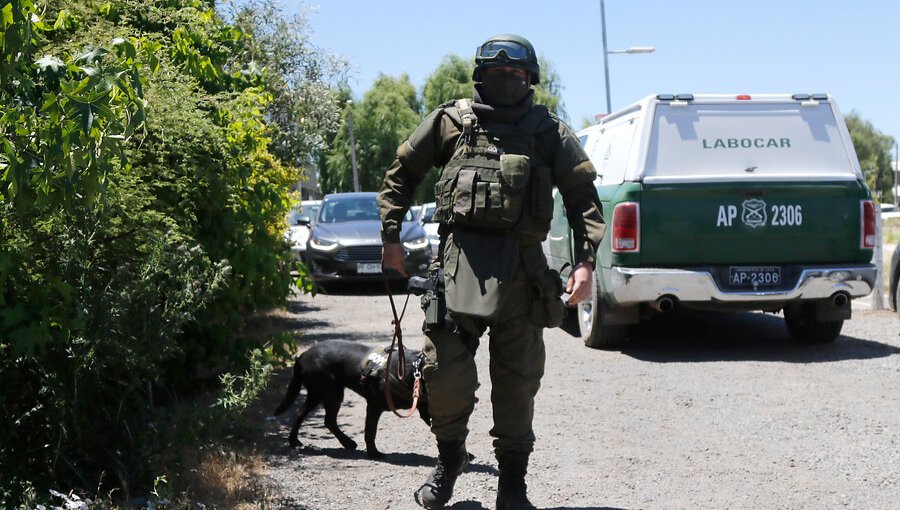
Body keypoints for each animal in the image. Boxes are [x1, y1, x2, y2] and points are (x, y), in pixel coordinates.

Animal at [270, 340, 428, 456]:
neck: (413, 370)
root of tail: (301, 356)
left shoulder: (426, 409)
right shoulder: (374, 406)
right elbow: (370, 431)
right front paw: (374, 453)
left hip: (323, 394)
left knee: (308, 415)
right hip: (329, 392)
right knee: (323, 419)